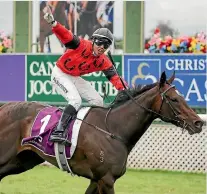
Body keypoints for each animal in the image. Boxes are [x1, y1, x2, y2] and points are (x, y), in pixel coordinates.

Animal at [0, 72, 204, 193]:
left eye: (182, 97)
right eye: (173, 99)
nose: (198, 122)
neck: (112, 128)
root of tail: (5, 107)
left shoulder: (96, 180)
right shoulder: (106, 180)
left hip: (22, 160)